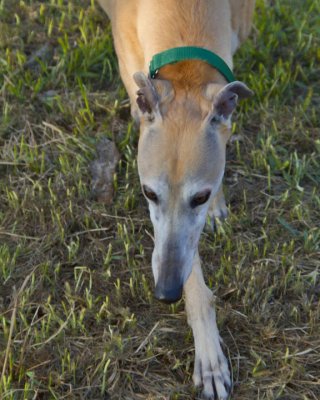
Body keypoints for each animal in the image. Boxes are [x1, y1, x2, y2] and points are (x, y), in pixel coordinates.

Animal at [97, 1, 255, 398]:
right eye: (148, 192)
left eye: (201, 195)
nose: (166, 292)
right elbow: (192, 267)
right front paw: (210, 358)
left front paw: (217, 207)